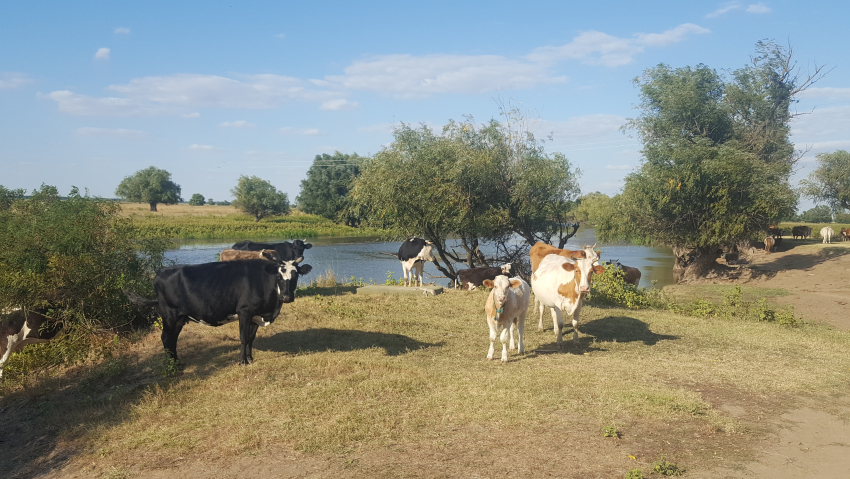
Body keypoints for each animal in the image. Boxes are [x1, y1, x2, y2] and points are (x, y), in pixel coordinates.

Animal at [126, 258, 312, 368]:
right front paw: (242, 361)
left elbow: (251, 338)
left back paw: (177, 363)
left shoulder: (255, 315)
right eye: (279, 276)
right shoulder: (245, 311)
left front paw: (250, 358)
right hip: (169, 314)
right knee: (166, 337)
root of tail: (161, 271)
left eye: (296, 276)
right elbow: (243, 338)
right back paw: (172, 366)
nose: (287, 297)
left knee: (172, 338)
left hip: (180, 317)